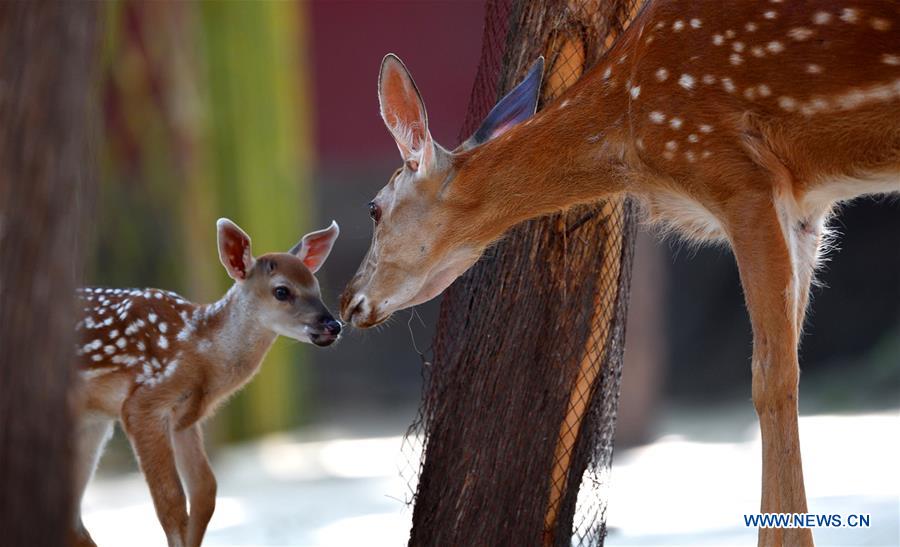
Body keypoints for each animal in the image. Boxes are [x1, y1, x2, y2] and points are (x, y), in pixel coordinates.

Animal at [73, 219, 342, 547]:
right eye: (282, 291)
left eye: (317, 287)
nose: (334, 325)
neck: (201, 353)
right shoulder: (143, 401)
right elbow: (171, 501)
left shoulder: (185, 417)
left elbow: (205, 493)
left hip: (93, 421)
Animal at [342, 2, 900, 544]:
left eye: (373, 209)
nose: (348, 300)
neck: (630, 131)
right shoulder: (807, 208)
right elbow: (788, 370)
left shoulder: (734, 173)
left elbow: (772, 380)